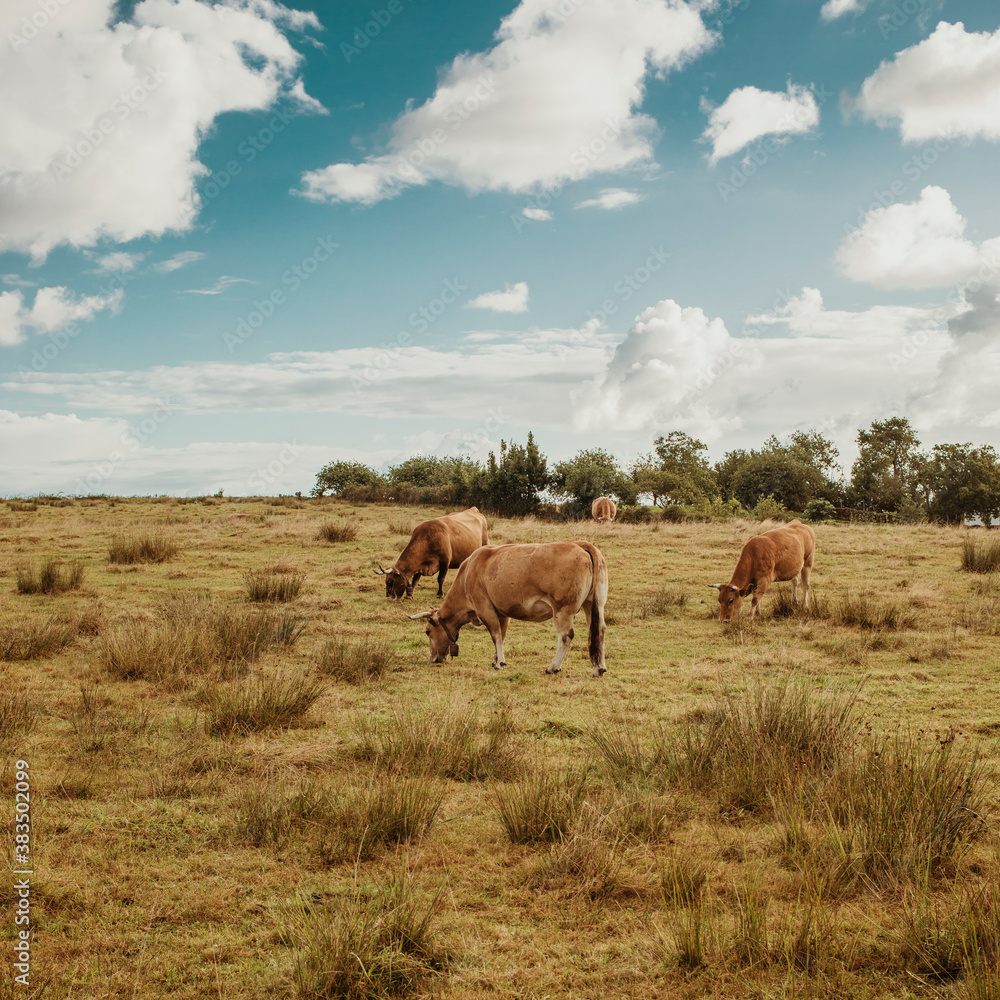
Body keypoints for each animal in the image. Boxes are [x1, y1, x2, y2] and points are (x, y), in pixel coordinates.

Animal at [406, 540, 608, 680]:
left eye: (427, 632)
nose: (433, 658)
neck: (468, 572)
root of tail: (581, 545)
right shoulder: (502, 612)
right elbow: (501, 636)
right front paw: (496, 659)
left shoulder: (485, 608)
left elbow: (495, 635)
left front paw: (499, 663)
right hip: (595, 605)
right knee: (599, 631)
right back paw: (599, 668)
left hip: (562, 609)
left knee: (566, 636)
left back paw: (553, 667)